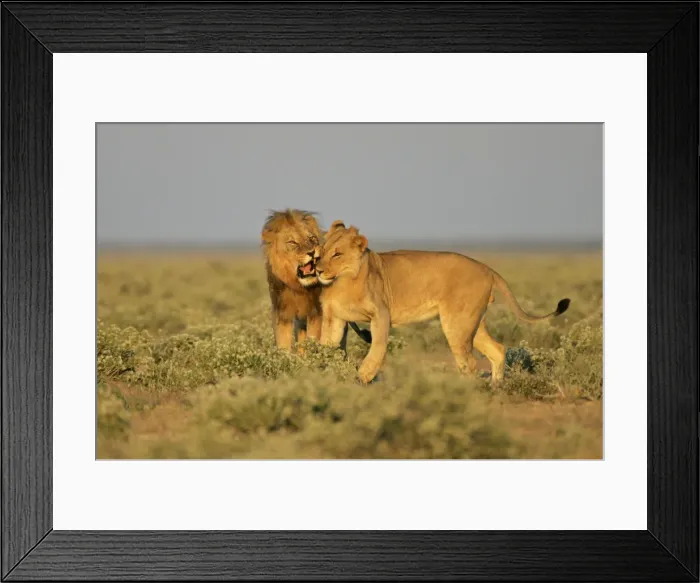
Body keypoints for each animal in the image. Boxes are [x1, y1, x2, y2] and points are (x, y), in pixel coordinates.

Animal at [261, 210, 371, 352]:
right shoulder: (282, 313)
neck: (298, 287)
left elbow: (313, 339)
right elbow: (283, 344)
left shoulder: (317, 313)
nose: (312, 252)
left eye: (312, 238)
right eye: (292, 242)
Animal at [316, 221, 570, 384]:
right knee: (497, 350)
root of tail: (487, 269)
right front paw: (318, 370)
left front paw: (363, 377)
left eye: (337, 254)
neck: (342, 282)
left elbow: (376, 348)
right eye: (321, 251)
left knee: (470, 363)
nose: (317, 269)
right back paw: (496, 388)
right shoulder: (334, 318)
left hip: (456, 323)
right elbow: (326, 345)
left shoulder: (381, 314)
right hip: (470, 322)